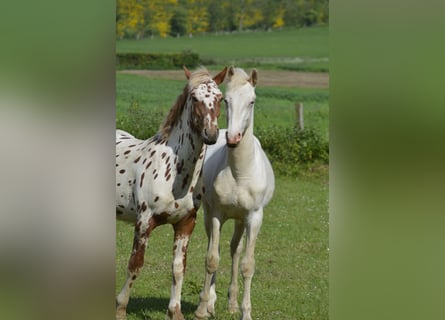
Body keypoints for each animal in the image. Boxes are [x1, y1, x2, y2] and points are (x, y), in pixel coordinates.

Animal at [115, 66, 225, 318]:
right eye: (194, 98)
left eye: (220, 98)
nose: (211, 134)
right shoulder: (144, 222)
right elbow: (135, 265)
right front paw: (120, 308)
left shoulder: (185, 223)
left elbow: (178, 268)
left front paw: (175, 311)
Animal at [195, 67, 274, 320]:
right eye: (226, 101)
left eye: (252, 101)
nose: (232, 138)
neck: (240, 172)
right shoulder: (216, 214)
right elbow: (211, 259)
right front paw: (202, 309)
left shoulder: (254, 217)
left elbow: (247, 264)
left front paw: (245, 312)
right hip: (209, 214)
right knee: (217, 247)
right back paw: (211, 302)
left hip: (240, 220)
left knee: (235, 251)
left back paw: (231, 303)